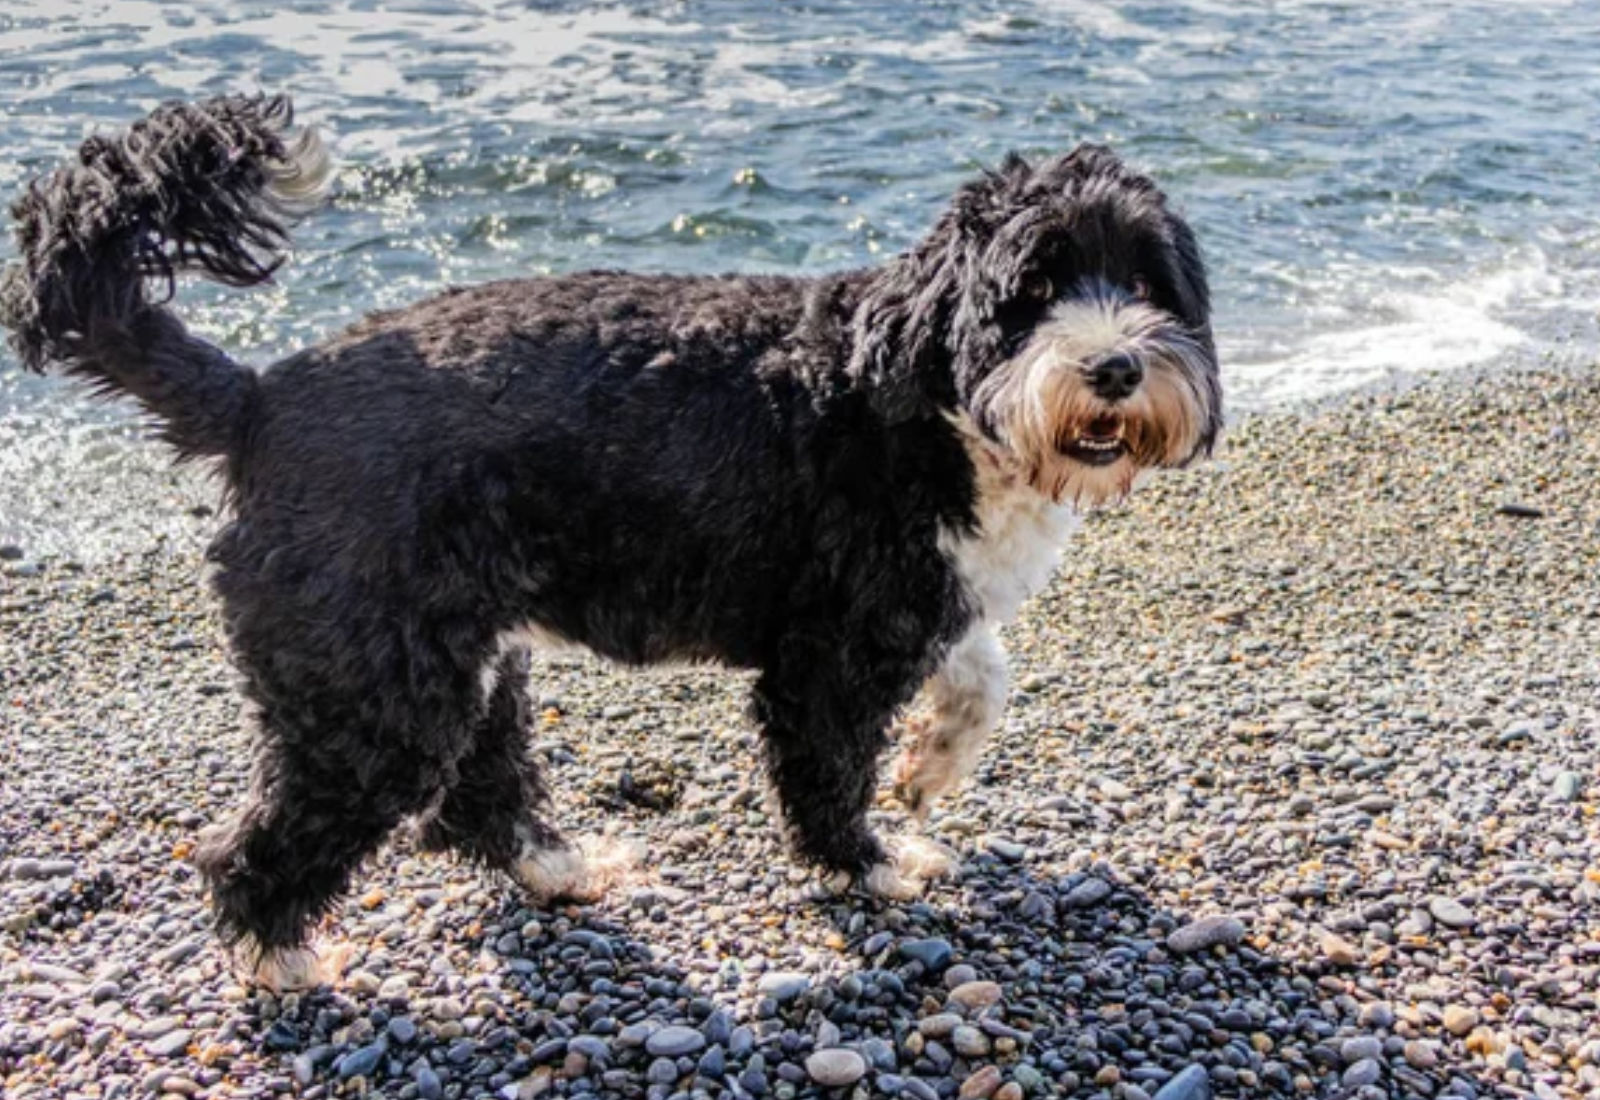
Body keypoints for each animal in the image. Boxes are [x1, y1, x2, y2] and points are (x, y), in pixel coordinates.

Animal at [1, 95, 1221, 988]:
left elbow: (984, 667)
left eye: (1145, 283)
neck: (921, 394)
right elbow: (827, 773)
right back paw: (278, 953)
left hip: (457, 651)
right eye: (1034, 289)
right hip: (373, 689)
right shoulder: (826, 656)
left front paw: (933, 762)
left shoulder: (911, 595)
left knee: (478, 788)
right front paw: (870, 861)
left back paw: (556, 865)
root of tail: (261, 399)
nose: (1115, 364)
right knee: (270, 838)